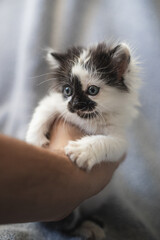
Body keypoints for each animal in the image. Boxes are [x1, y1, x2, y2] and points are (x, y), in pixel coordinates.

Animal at [26, 41, 140, 171]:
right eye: (67, 90)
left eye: (92, 90)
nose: (75, 104)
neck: (88, 119)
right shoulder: (57, 102)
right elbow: (44, 109)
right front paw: (34, 140)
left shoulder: (120, 140)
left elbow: (105, 141)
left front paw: (81, 151)